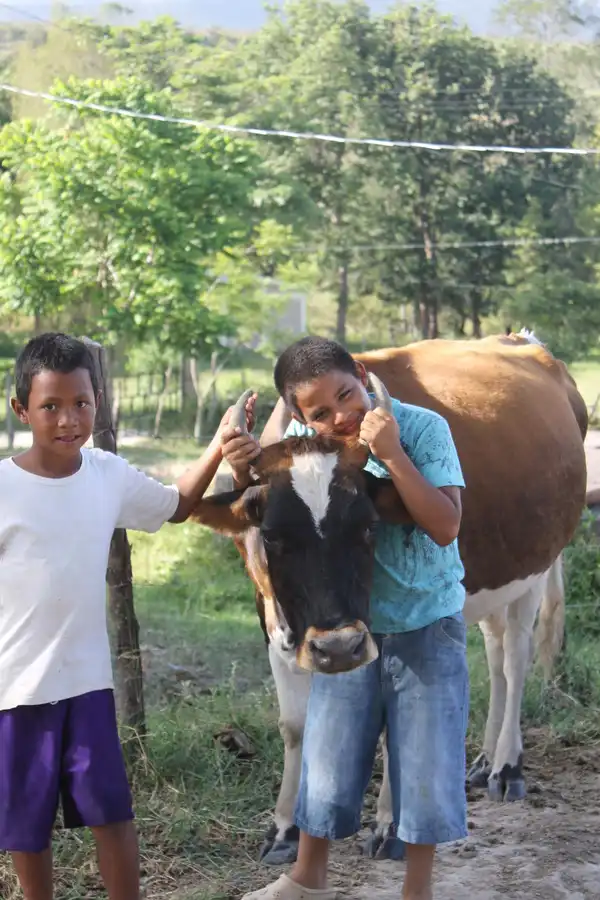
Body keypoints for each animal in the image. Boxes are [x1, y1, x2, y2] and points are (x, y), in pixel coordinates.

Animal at [191, 330, 584, 864]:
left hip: (538, 563)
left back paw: (507, 767)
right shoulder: (274, 620)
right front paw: (286, 828)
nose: (337, 647)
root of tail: (524, 340)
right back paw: (482, 762)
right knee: (496, 649)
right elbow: (295, 724)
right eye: (272, 536)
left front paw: (388, 824)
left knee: (517, 656)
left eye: (368, 526)